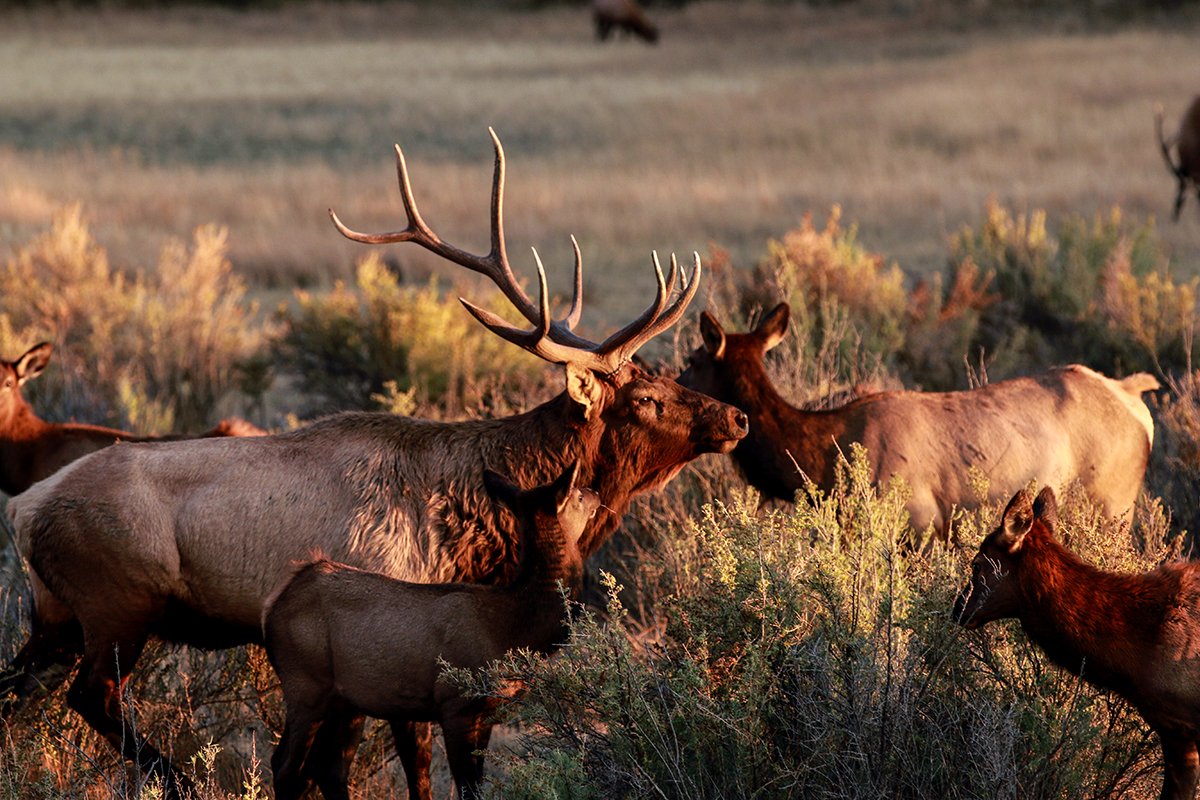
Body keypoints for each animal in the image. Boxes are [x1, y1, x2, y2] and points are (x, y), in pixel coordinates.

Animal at [265, 461, 598, 800]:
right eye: (576, 495)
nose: (594, 493)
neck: (512, 630)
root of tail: (274, 608)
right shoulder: (455, 703)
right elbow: (466, 787)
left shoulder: (487, 711)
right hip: (305, 682)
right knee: (284, 765)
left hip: (343, 701)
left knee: (327, 767)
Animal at [677, 303, 1159, 542]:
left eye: (692, 361)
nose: (668, 382)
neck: (828, 463)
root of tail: (1134, 398)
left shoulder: (917, 519)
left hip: (1112, 505)